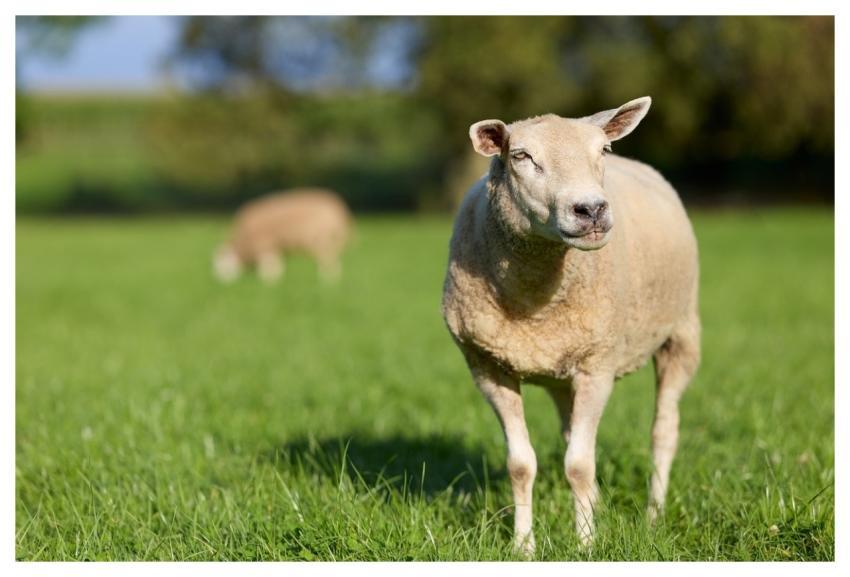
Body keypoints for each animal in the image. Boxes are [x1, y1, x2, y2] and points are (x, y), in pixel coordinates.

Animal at [214, 188, 352, 283]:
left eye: (222, 264)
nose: (221, 283)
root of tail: (338, 209)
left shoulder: (265, 245)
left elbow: (270, 267)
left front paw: (268, 283)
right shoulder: (276, 247)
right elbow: (279, 268)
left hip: (322, 240)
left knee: (329, 261)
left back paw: (327, 281)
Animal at [441, 97, 700, 553]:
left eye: (603, 150)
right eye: (521, 156)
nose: (591, 209)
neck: (534, 302)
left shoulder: (598, 367)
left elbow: (579, 465)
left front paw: (585, 545)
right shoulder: (487, 367)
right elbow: (521, 465)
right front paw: (523, 547)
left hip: (681, 333)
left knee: (663, 432)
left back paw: (653, 517)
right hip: (562, 373)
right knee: (570, 433)